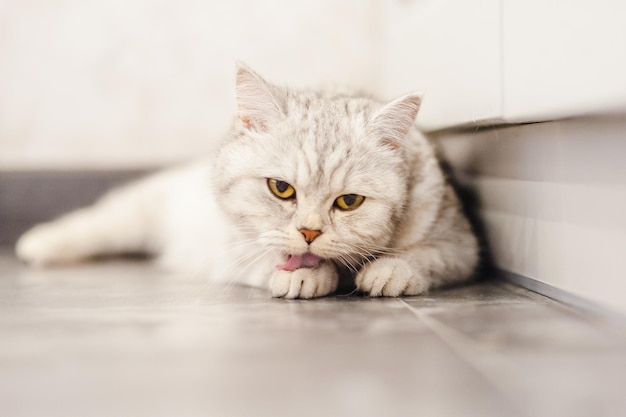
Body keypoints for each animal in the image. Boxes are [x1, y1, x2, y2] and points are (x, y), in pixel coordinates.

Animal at [15, 64, 478, 300]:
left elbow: (429, 257)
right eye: (281, 189)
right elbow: (266, 259)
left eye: (349, 202)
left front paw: (390, 270)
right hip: (140, 211)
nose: (309, 232)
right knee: (97, 220)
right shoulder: (230, 247)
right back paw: (40, 244)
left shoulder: (462, 243)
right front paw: (305, 275)